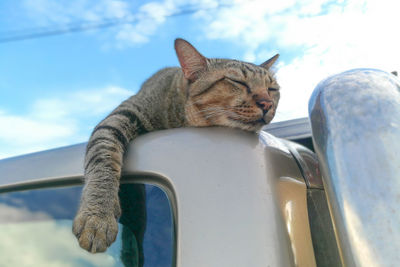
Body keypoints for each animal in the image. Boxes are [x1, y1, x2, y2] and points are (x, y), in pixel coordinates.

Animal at [72, 38, 280, 253]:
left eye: (273, 89)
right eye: (238, 82)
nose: (267, 103)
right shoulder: (118, 118)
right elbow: (102, 160)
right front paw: (98, 215)